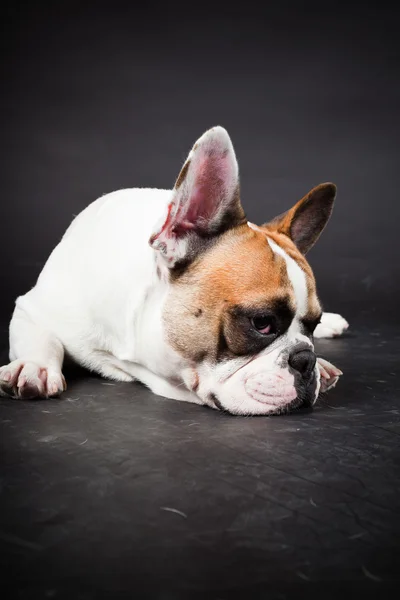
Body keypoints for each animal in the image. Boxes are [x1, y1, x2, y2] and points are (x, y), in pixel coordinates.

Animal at [0, 126, 346, 414]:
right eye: (261, 323)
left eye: (312, 326)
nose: (306, 359)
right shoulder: (32, 308)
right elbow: (41, 337)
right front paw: (32, 366)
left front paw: (320, 358)